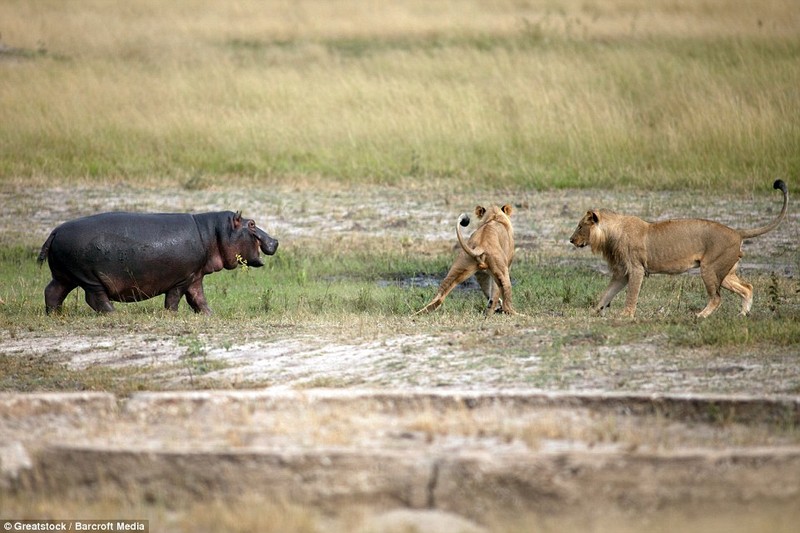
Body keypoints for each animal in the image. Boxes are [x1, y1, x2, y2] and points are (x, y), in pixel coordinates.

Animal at [38, 211, 282, 314]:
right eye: (252, 224)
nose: (276, 240)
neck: (214, 232)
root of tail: (55, 231)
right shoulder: (182, 279)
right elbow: (174, 299)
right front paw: (172, 315)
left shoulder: (195, 275)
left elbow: (198, 298)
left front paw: (210, 314)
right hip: (89, 277)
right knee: (95, 298)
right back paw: (113, 313)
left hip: (65, 275)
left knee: (52, 292)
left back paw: (55, 314)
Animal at [568, 181, 788, 318]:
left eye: (580, 226)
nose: (570, 240)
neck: (611, 233)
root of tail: (736, 231)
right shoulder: (622, 272)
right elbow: (606, 293)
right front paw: (594, 312)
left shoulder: (636, 269)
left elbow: (631, 294)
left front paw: (626, 315)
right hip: (724, 272)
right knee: (747, 287)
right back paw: (743, 314)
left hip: (709, 268)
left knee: (717, 298)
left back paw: (701, 316)